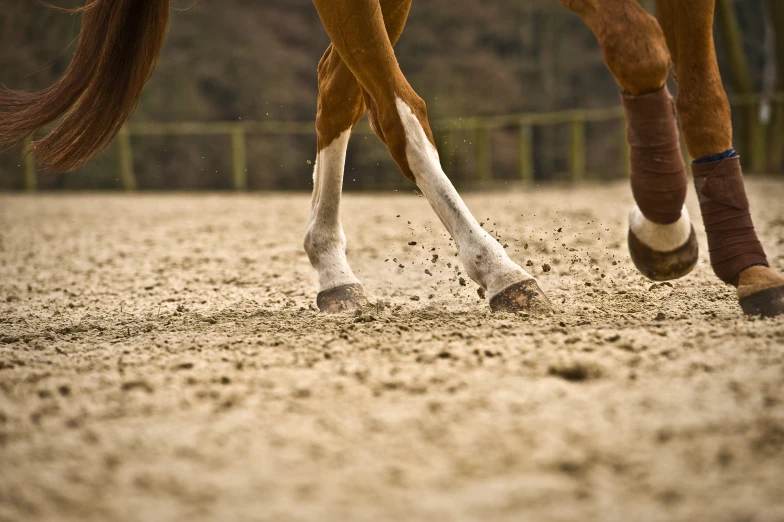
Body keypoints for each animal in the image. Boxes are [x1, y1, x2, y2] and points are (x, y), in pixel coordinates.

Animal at [0, 0, 780, 316]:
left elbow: (705, 90)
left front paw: (745, 267)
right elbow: (639, 45)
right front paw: (662, 234)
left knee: (337, 87)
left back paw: (334, 272)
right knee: (389, 107)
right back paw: (500, 273)